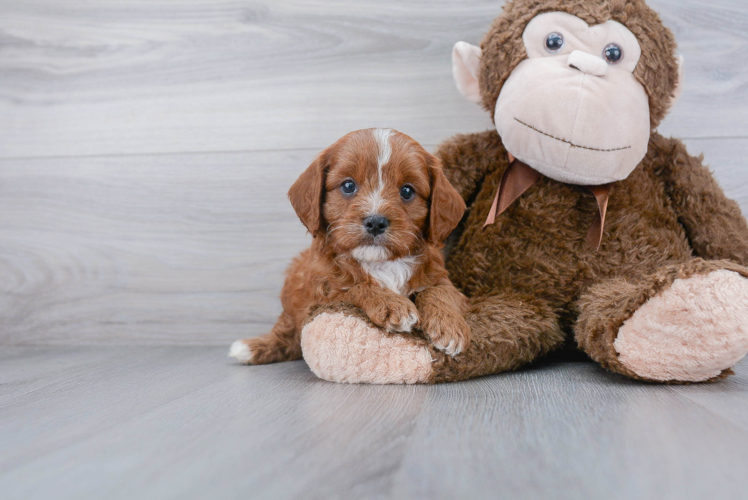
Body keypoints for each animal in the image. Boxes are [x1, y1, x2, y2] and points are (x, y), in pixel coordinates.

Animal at [231, 127, 470, 366]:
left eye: (407, 191)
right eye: (348, 186)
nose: (376, 222)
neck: (380, 263)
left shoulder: (439, 276)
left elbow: (440, 290)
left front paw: (449, 326)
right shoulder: (320, 295)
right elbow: (352, 287)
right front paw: (391, 303)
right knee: (287, 335)